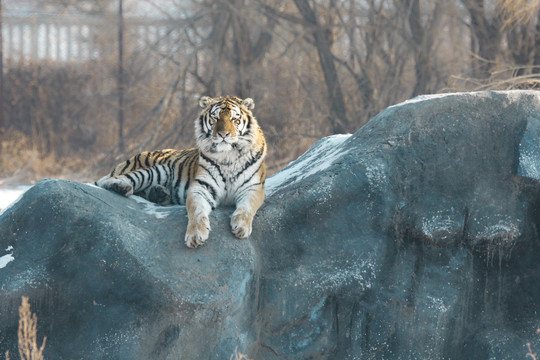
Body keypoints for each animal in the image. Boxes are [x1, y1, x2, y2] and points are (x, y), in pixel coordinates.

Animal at [96, 95, 268, 248]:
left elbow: (247, 207)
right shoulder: (201, 187)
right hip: (156, 170)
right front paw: (196, 235)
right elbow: (196, 211)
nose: (223, 135)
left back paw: (160, 194)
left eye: (234, 119)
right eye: (215, 118)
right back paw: (121, 186)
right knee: (112, 180)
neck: (228, 155)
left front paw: (241, 227)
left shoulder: (253, 188)